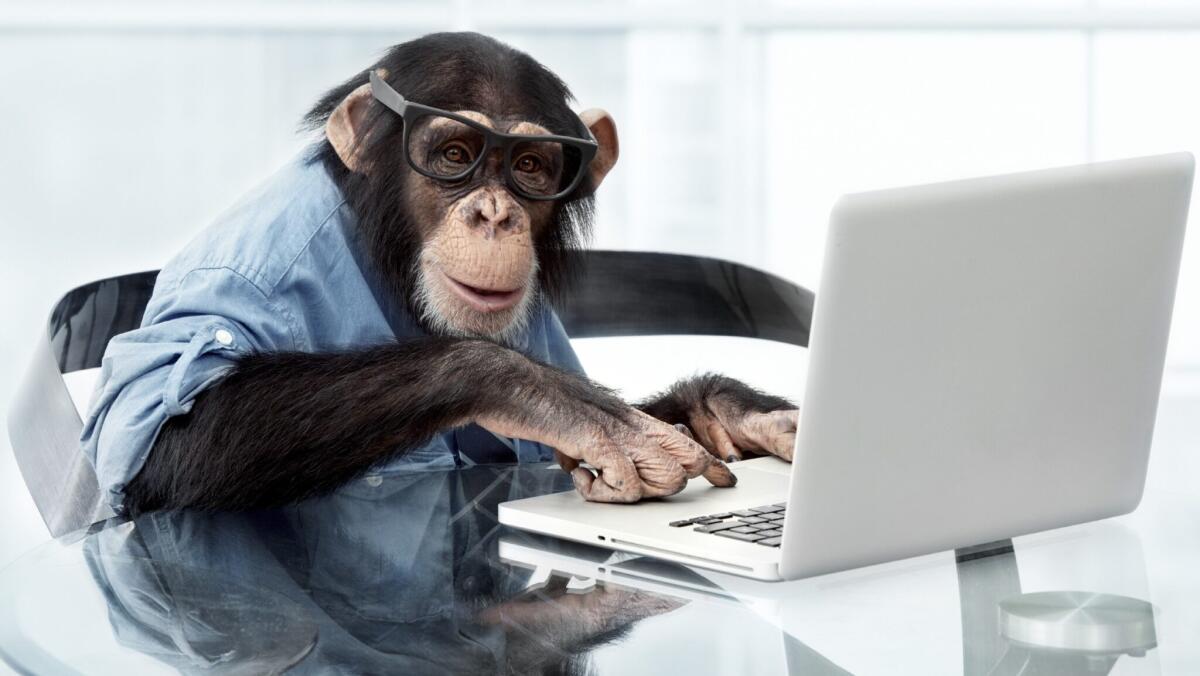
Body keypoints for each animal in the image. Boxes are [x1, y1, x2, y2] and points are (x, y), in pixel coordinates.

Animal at [80, 32, 799, 516]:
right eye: (455, 155)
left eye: (531, 167)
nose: (494, 213)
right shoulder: (252, 266)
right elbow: (162, 433)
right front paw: (552, 398)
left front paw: (729, 411)